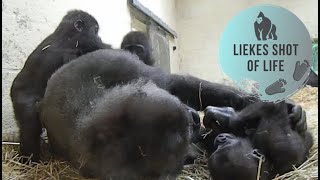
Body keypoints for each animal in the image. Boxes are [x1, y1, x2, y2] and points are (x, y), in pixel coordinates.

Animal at [10, 9, 111, 162]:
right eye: (95, 30)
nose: (99, 37)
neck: (65, 36)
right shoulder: (70, 54)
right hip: (20, 99)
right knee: (29, 128)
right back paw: (29, 160)